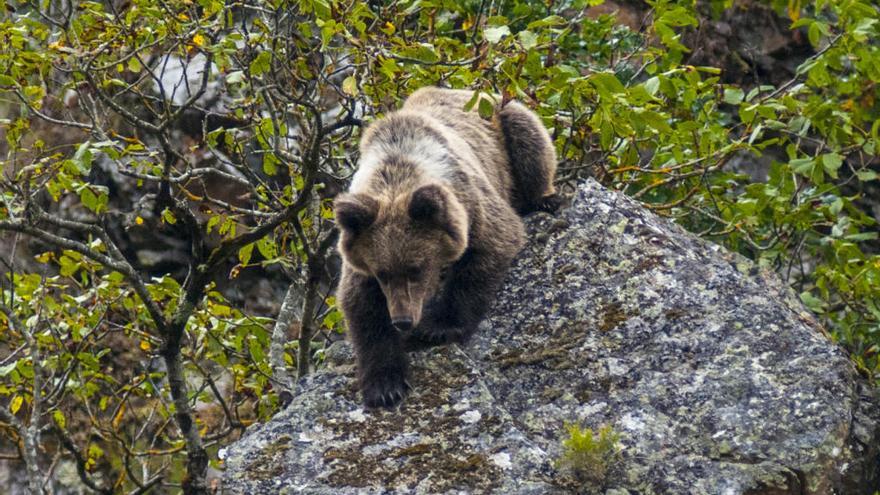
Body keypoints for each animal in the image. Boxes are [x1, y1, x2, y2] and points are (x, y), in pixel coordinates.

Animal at [334, 87, 560, 408]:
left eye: (416, 269)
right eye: (383, 274)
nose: (403, 320)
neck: (398, 170)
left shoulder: (470, 203)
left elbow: (489, 249)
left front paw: (437, 326)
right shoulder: (360, 251)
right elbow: (362, 307)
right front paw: (385, 385)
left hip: (507, 125)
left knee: (531, 143)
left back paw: (545, 198)